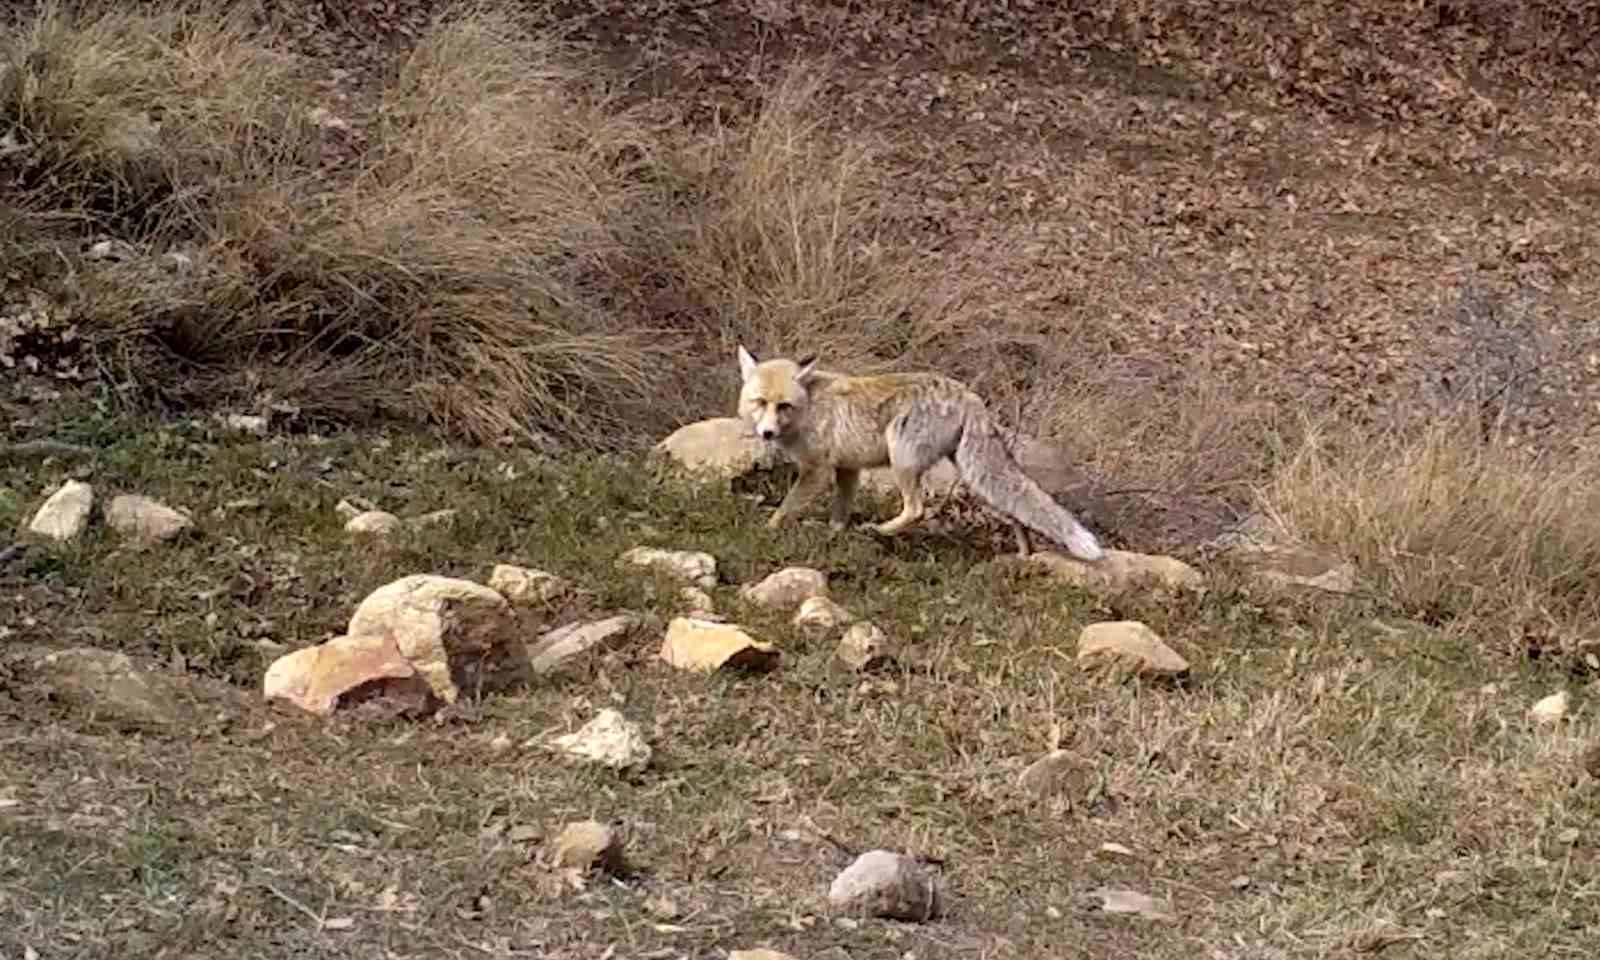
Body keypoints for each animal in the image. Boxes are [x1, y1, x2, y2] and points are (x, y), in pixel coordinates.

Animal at [732, 347, 1100, 563]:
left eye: (783, 406)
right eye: (759, 402)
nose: (766, 433)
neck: (810, 408)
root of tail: (968, 394)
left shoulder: (816, 470)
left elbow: (786, 507)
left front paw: (767, 530)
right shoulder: (847, 469)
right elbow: (840, 511)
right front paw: (834, 535)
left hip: (903, 462)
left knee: (916, 510)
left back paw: (880, 530)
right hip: (974, 475)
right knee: (1016, 511)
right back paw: (1024, 555)